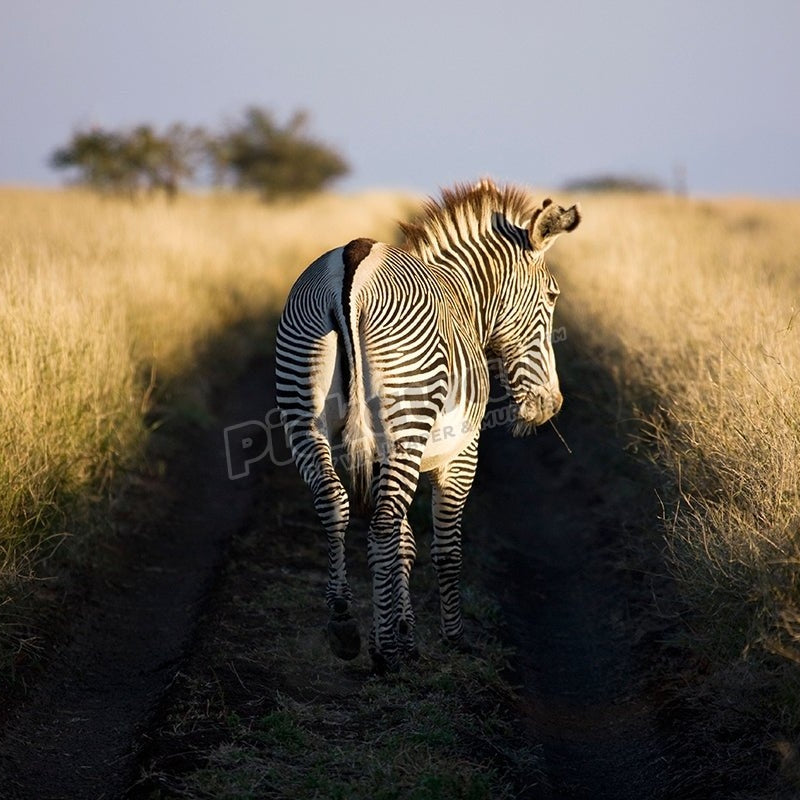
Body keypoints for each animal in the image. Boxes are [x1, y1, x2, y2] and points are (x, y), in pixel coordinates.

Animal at [275, 180, 580, 673]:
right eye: (552, 296)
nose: (550, 406)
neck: (465, 299)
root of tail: (352, 267)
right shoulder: (459, 454)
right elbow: (444, 548)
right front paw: (445, 638)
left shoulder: (386, 457)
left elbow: (403, 546)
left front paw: (405, 635)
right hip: (406, 419)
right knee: (381, 523)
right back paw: (384, 656)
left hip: (303, 411)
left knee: (335, 503)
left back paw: (344, 626)